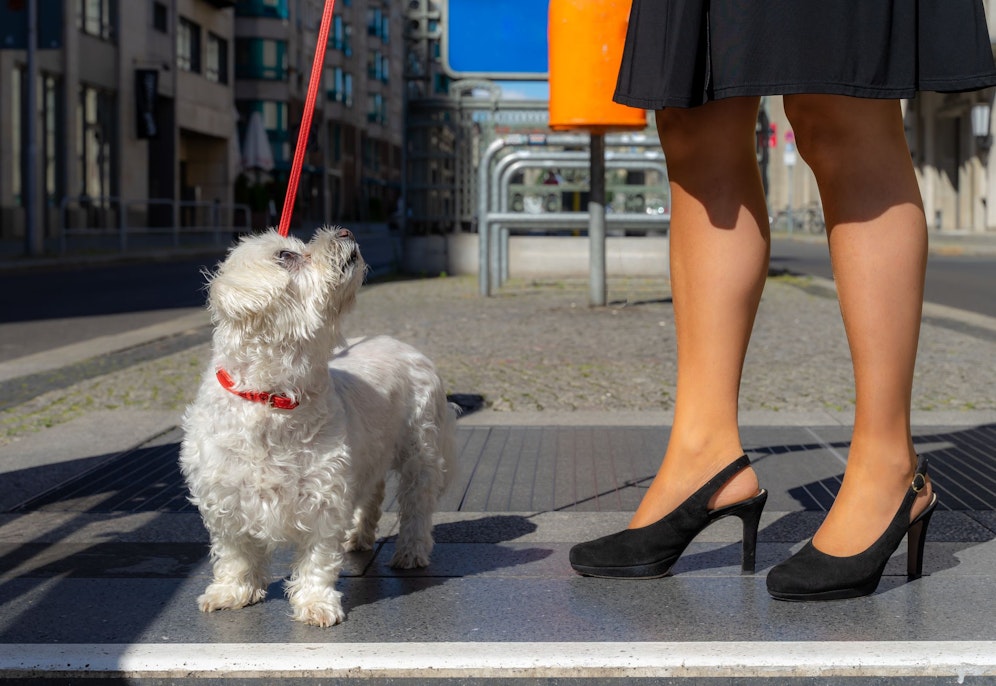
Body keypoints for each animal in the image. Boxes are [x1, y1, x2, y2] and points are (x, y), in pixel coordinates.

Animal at [180, 227, 456, 628]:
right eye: (285, 256)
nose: (344, 230)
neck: (274, 398)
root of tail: (403, 345)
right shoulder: (225, 497)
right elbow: (235, 553)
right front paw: (232, 591)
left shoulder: (324, 496)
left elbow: (317, 559)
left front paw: (315, 603)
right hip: (369, 456)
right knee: (372, 495)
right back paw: (358, 536)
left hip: (420, 451)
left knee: (417, 507)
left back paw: (411, 552)